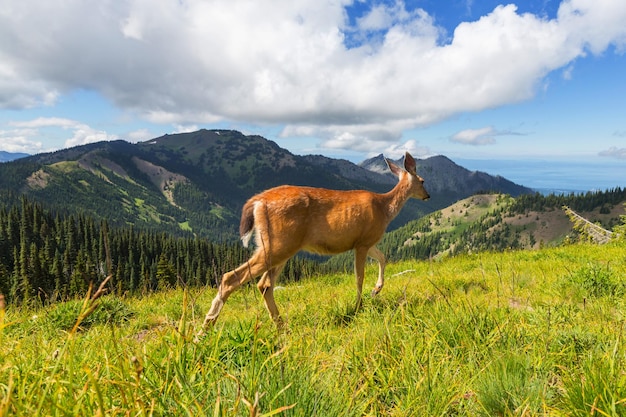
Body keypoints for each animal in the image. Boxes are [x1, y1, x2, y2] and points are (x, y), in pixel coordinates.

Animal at [196, 151, 428, 336]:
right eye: (423, 181)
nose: (428, 195)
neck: (384, 208)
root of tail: (257, 201)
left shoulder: (367, 242)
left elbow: (383, 258)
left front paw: (376, 290)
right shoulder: (361, 243)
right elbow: (359, 277)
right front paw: (358, 306)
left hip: (278, 246)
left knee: (264, 285)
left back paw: (280, 326)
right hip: (279, 244)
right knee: (231, 278)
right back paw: (204, 330)